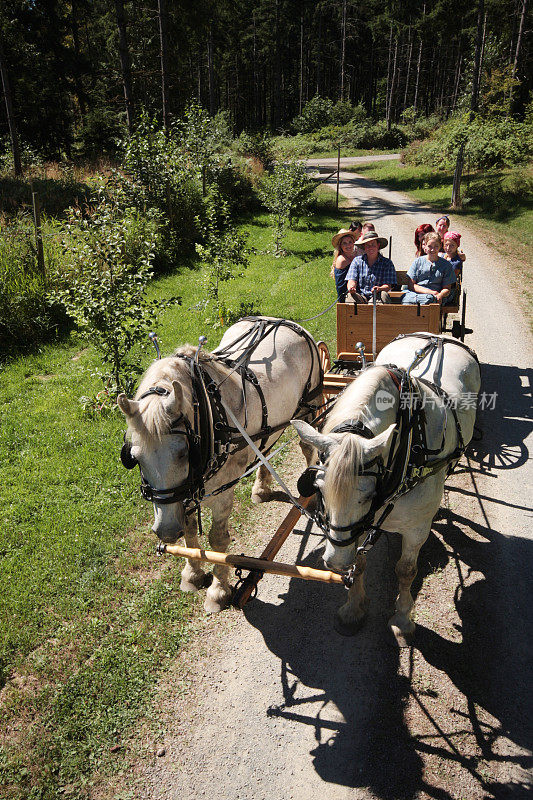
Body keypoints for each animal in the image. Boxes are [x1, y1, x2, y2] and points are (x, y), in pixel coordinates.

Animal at [118, 318, 320, 612]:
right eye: (133, 457)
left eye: (184, 452)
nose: (166, 532)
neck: (210, 414)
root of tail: (285, 322)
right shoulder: (184, 492)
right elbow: (190, 529)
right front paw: (192, 574)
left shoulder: (223, 491)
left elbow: (218, 540)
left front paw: (218, 590)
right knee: (265, 450)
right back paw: (261, 489)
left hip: (309, 406)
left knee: (309, 445)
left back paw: (313, 492)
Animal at [294, 334, 480, 640]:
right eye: (318, 489)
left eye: (369, 494)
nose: (335, 563)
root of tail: (438, 338)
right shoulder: (356, 526)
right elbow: (360, 563)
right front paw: (353, 608)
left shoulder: (416, 528)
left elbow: (405, 570)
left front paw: (403, 618)